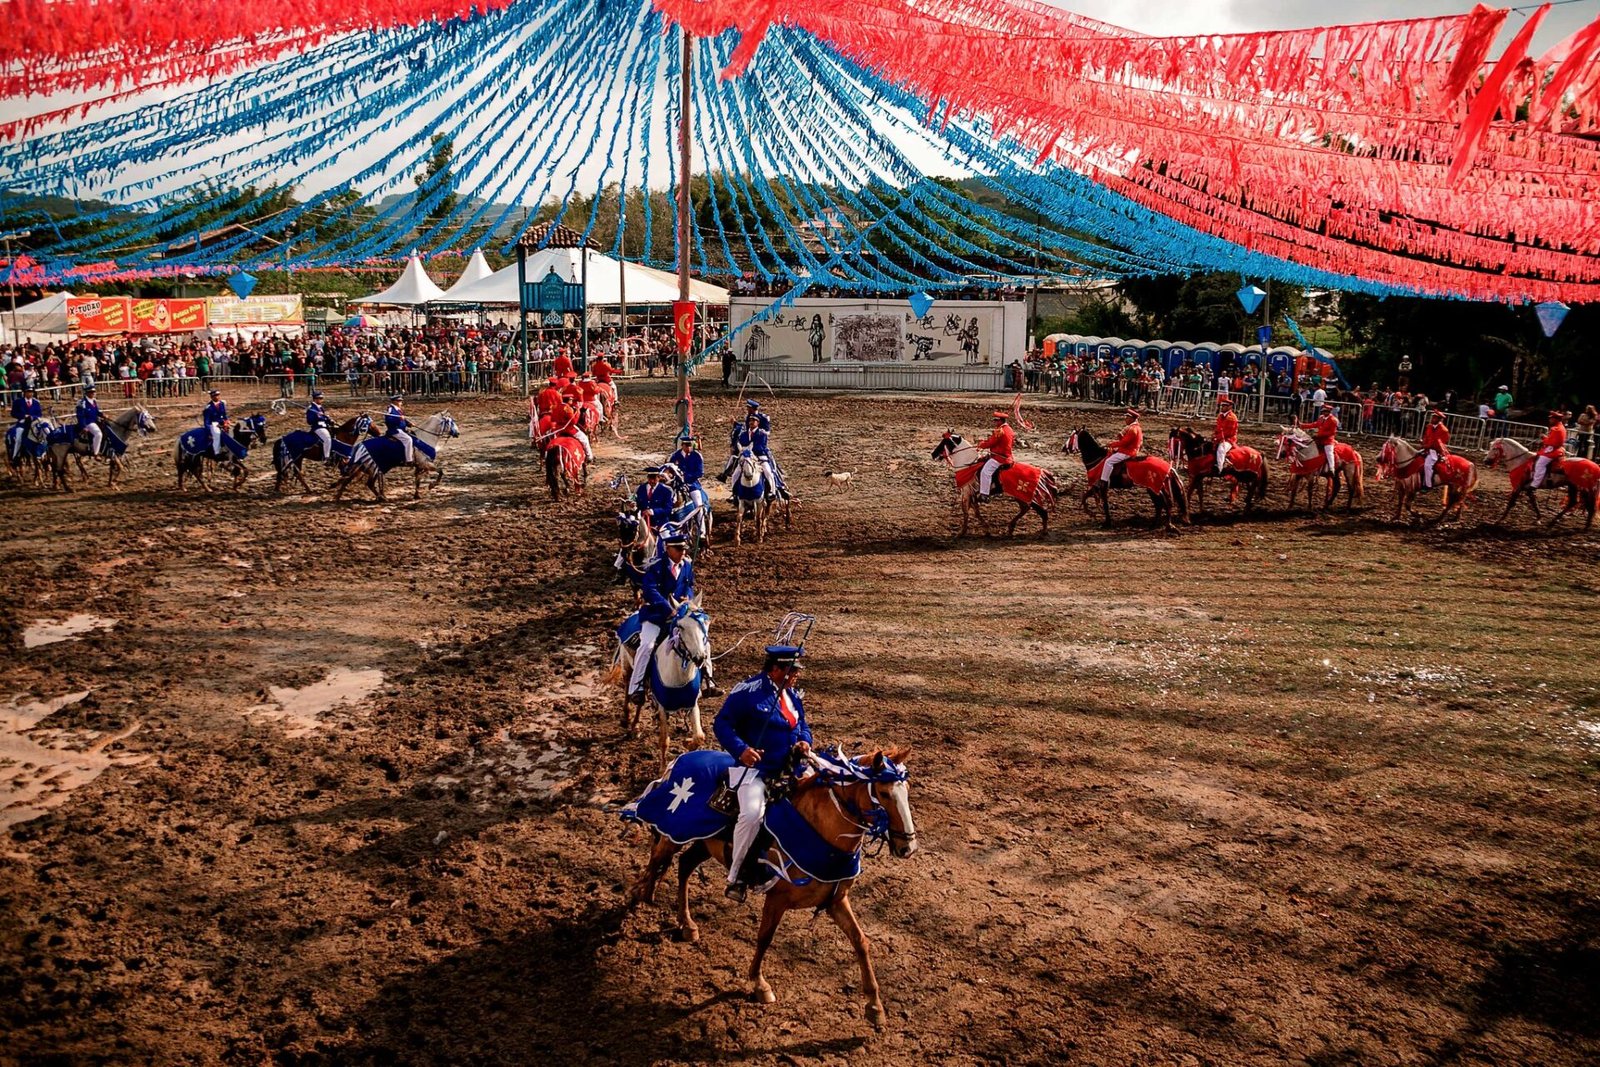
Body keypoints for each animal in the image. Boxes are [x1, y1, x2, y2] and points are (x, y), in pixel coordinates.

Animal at [608, 601, 710, 767]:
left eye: (706, 623)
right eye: (680, 626)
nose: (700, 657)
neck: (678, 674)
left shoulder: (692, 703)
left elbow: (699, 736)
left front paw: (687, 743)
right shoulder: (662, 706)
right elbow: (664, 741)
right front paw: (662, 769)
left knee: (640, 700)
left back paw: (635, 726)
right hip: (627, 668)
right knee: (628, 690)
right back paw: (626, 718)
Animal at [630, 748, 921, 1023]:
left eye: (906, 791)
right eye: (883, 793)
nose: (907, 847)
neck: (819, 830)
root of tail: (681, 759)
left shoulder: (836, 901)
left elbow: (861, 941)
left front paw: (875, 1006)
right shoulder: (777, 899)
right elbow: (765, 937)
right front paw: (760, 985)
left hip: (704, 843)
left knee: (683, 866)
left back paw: (686, 923)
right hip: (674, 833)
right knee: (657, 859)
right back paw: (640, 896)